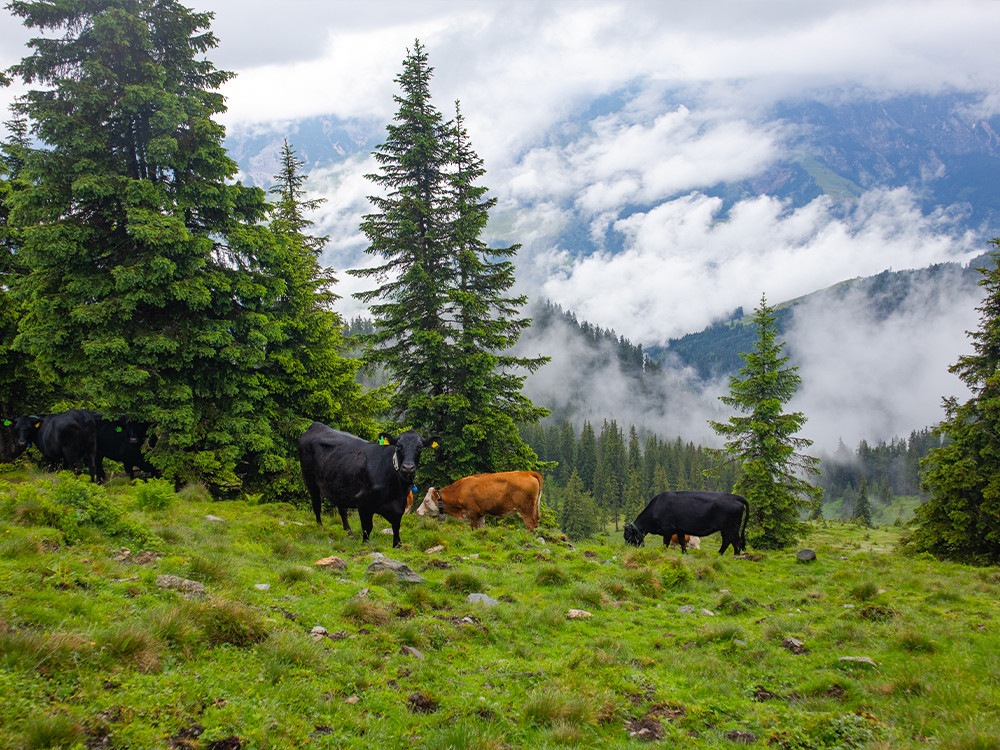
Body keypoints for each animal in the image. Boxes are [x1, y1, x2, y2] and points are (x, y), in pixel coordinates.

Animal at [296, 426, 438, 548]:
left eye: (420, 447)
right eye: (399, 446)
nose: (408, 467)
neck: (395, 489)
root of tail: (316, 425)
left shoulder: (399, 506)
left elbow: (396, 527)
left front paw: (397, 544)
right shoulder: (363, 502)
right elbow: (367, 526)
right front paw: (365, 544)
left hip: (338, 483)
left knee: (342, 510)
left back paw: (349, 533)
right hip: (309, 479)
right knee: (316, 505)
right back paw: (320, 527)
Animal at [624, 494, 752, 560]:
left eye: (628, 537)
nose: (628, 549)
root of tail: (735, 497)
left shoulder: (667, 529)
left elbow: (665, 543)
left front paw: (663, 552)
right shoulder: (680, 529)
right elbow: (682, 542)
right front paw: (684, 553)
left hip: (730, 528)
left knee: (735, 541)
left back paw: (731, 555)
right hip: (727, 529)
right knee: (730, 541)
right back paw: (726, 554)